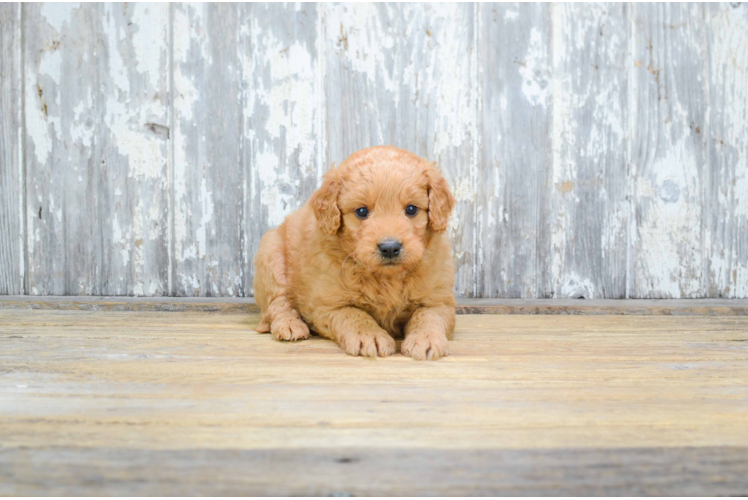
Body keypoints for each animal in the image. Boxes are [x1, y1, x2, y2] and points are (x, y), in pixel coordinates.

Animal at [253, 145, 456, 360]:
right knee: (277, 302)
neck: (386, 278)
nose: (390, 247)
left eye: (411, 209)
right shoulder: (327, 304)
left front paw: (426, 339)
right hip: (271, 256)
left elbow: (427, 315)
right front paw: (370, 336)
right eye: (361, 211)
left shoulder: (439, 300)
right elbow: (354, 314)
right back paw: (290, 326)